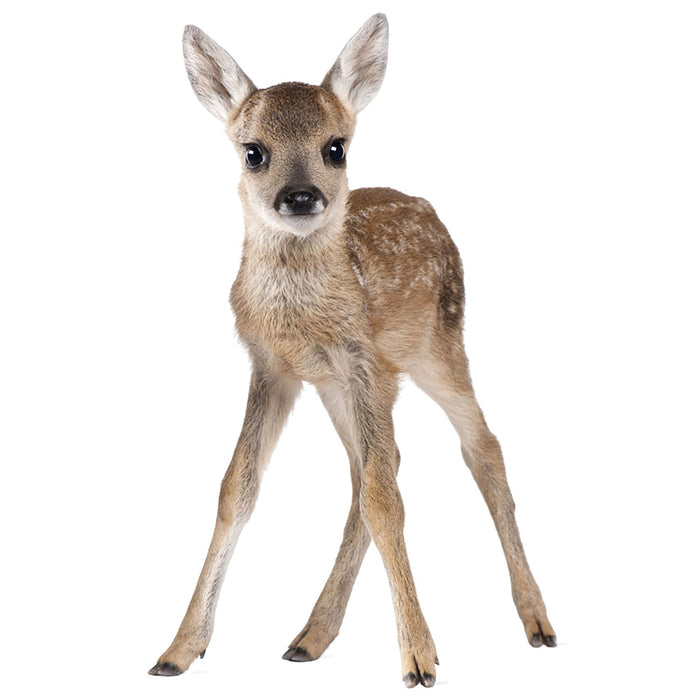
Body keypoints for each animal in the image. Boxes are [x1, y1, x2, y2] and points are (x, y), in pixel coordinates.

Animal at [148, 13, 556, 688]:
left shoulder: (363, 359)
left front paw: (418, 659)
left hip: (438, 347)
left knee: (480, 449)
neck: (303, 318)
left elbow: (385, 499)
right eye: (253, 152)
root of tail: (428, 207)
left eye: (335, 147)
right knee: (374, 468)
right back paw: (311, 636)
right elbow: (238, 489)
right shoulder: (274, 369)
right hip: (347, 388)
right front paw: (178, 649)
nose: (301, 196)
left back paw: (537, 622)